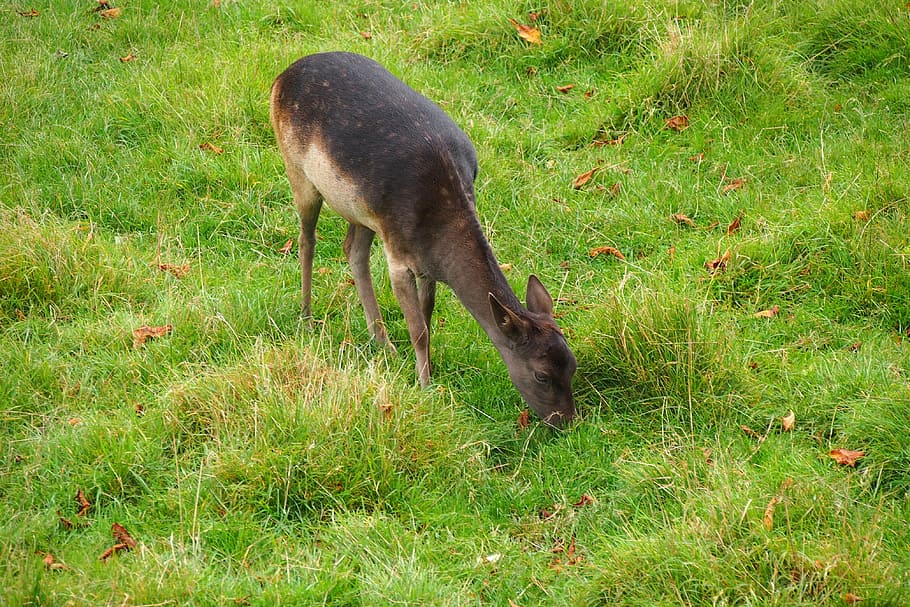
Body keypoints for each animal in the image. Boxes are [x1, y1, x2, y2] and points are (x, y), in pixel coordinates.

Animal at [270, 52, 576, 427]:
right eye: (541, 375)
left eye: (573, 365)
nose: (566, 421)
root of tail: (283, 74)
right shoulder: (398, 256)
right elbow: (418, 329)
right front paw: (425, 386)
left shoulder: (426, 263)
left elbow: (427, 315)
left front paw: (427, 369)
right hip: (297, 170)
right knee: (306, 240)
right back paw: (307, 317)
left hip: (362, 210)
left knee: (352, 250)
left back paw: (381, 341)